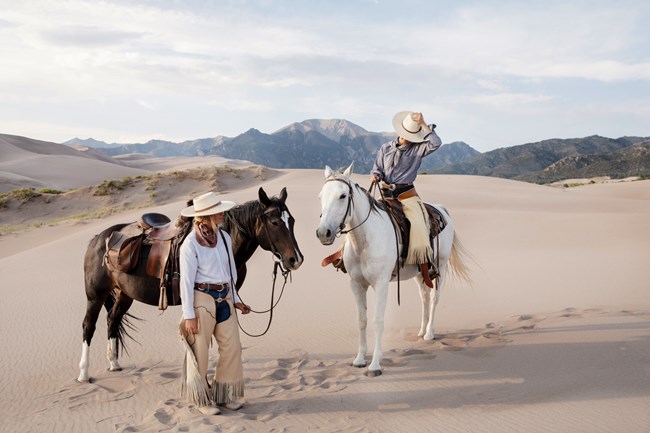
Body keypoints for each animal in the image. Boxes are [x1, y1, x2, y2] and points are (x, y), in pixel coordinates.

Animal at [78, 186, 304, 382]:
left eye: (291, 220)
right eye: (274, 222)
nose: (296, 260)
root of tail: (98, 238)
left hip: (125, 294)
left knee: (112, 320)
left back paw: (114, 363)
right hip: (95, 295)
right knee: (89, 326)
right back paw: (84, 373)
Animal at [316, 163, 470, 374]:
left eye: (342, 195)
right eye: (321, 196)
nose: (323, 233)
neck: (365, 240)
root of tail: (442, 209)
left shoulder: (381, 284)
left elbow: (377, 321)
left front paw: (375, 364)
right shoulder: (356, 284)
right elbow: (362, 320)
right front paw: (359, 359)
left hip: (441, 266)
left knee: (434, 298)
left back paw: (429, 333)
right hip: (420, 272)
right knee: (424, 297)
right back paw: (421, 331)